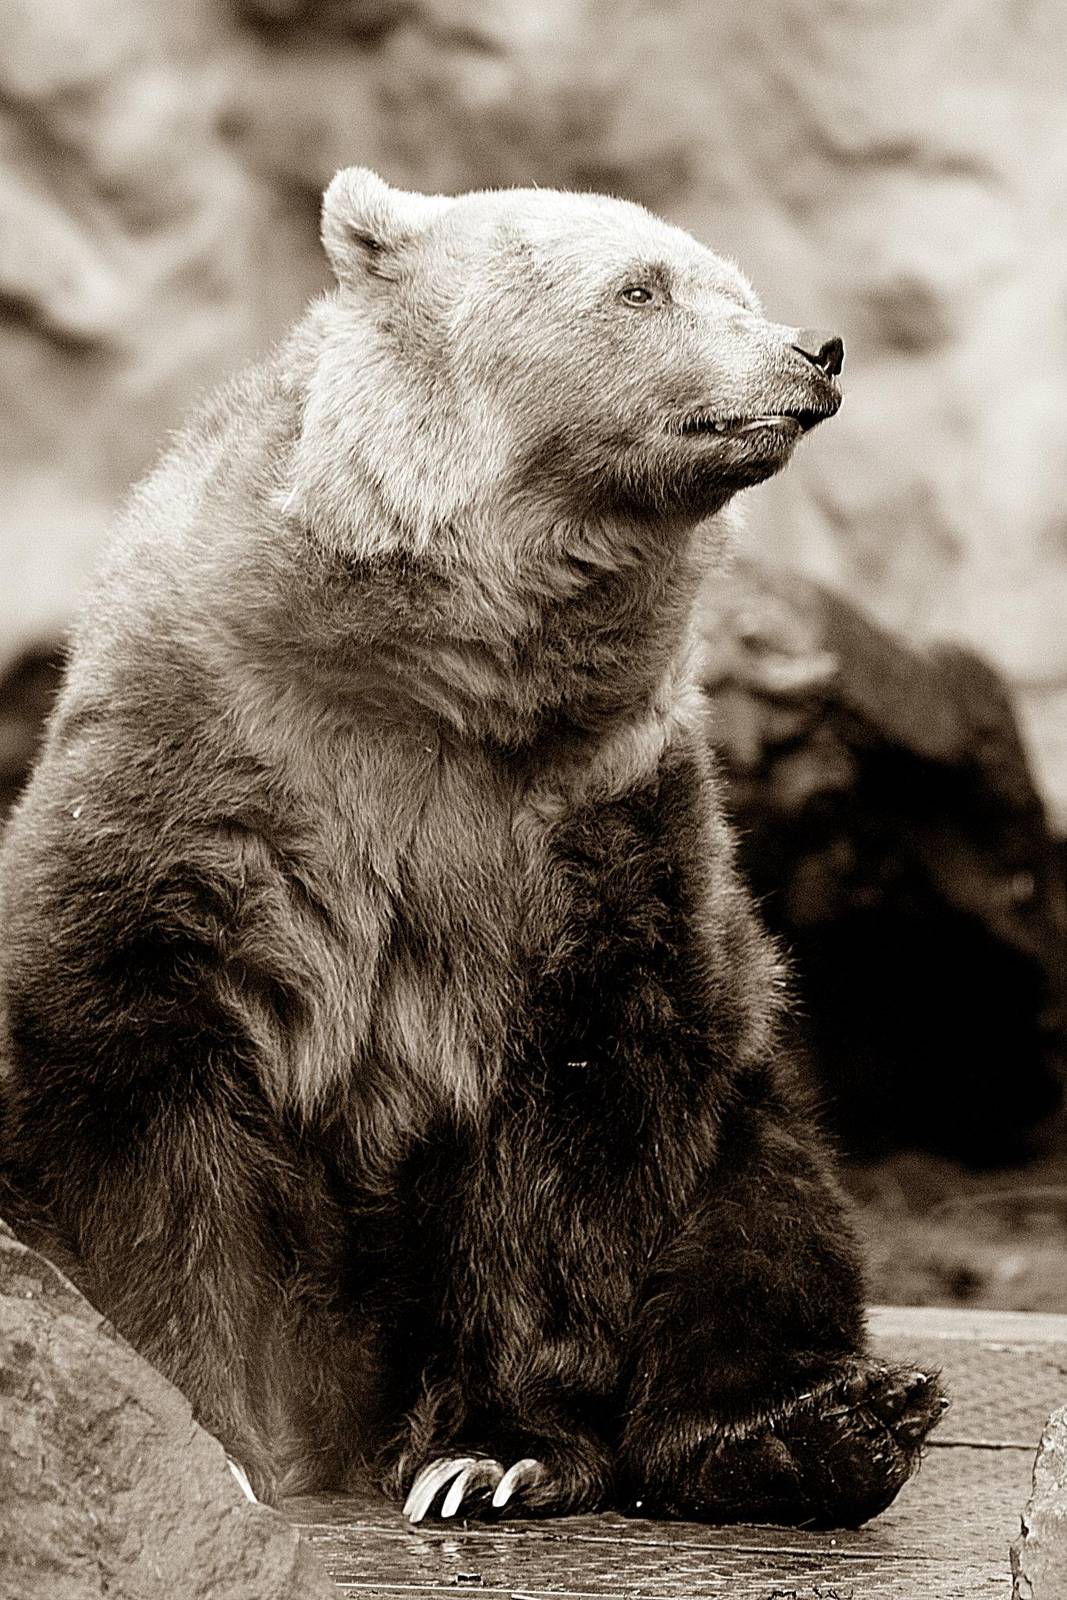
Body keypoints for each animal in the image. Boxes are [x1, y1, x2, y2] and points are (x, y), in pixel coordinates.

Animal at [0, 168, 946, 1528]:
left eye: (734, 282)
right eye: (641, 287)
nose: (809, 351)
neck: (446, 670)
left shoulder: (592, 821)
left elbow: (577, 1124)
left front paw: (492, 1451)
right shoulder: (207, 767)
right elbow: (145, 1088)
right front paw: (218, 1433)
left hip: (749, 1099)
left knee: (765, 1222)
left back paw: (820, 1423)